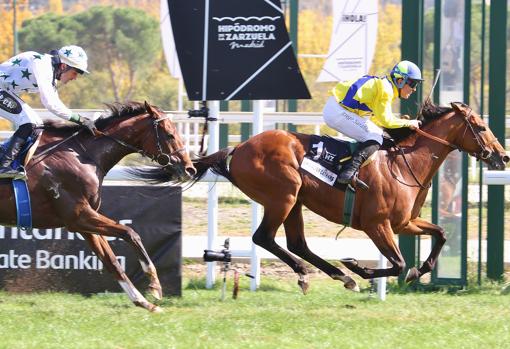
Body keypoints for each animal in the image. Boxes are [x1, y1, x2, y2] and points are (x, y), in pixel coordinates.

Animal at [0, 100, 195, 310]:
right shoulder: (79, 216)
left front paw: (143, 301)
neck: (83, 155)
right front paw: (155, 285)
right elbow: (130, 233)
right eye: (170, 134)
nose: (189, 168)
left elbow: (111, 261)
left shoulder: (86, 223)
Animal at [133, 100, 508, 290]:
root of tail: (239, 147)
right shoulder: (377, 225)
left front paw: (421, 270)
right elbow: (398, 263)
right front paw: (360, 267)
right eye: (482, 126)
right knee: (264, 237)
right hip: (283, 196)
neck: (404, 164)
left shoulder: (405, 222)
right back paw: (316, 272)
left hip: (295, 201)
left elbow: (441, 233)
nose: (502, 156)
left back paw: (335, 275)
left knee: (296, 242)